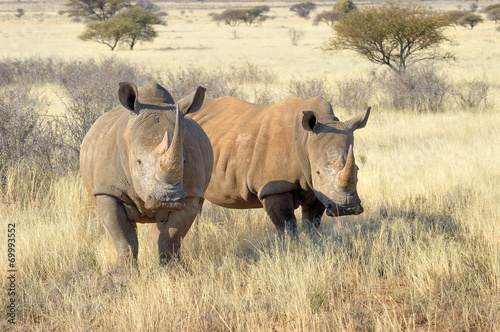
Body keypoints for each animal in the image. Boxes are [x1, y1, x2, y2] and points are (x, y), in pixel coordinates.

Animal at [81, 80, 213, 272]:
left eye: (184, 160)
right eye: (138, 161)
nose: (167, 200)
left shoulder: (191, 193)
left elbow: (172, 236)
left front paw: (173, 271)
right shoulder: (108, 190)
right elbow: (123, 236)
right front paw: (122, 275)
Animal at [186, 96, 370, 236]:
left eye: (357, 170)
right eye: (318, 172)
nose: (347, 208)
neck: (305, 140)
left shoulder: (317, 189)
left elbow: (312, 224)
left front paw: (314, 248)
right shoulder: (274, 189)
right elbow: (286, 226)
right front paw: (292, 252)